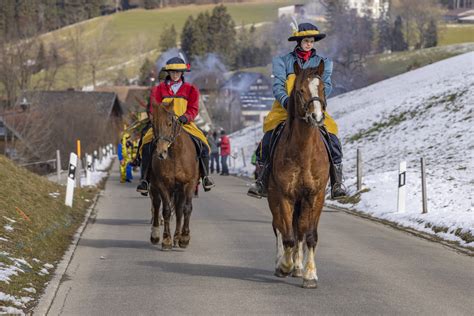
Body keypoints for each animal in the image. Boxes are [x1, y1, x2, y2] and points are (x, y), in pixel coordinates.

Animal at [149, 101, 199, 249]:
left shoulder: (189, 183)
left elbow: (186, 209)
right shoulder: (162, 184)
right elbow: (165, 210)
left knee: (179, 209)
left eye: (170, 123)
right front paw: (166, 239)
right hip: (154, 186)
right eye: (153, 124)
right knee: (156, 204)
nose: (161, 152)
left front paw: (184, 238)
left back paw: (177, 236)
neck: (176, 154)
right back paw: (155, 235)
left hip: (180, 189)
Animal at [268, 61, 332, 288]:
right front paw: (284, 266)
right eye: (300, 90)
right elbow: (287, 236)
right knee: (279, 228)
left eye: (323, 88)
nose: (317, 117)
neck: (303, 152)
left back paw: (297, 267)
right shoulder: (284, 196)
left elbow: (309, 236)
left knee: (300, 231)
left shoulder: (315, 196)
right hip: (274, 198)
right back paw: (282, 264)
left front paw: (309, 274)